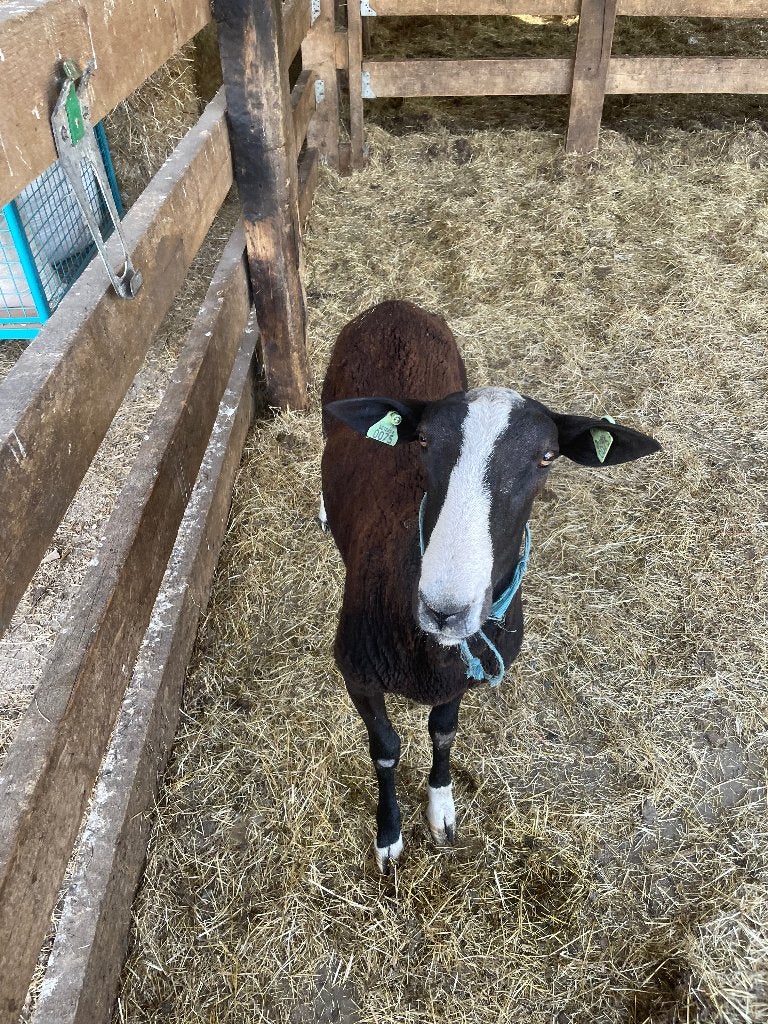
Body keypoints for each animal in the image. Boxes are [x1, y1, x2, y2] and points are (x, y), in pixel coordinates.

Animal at [321, 299, 660, 872]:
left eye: (547, 456)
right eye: (424, 440)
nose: (445, 610)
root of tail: (395, 305)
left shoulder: (461, 679)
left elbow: (443, 733)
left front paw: (441, 809)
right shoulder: (357, 672)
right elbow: (385, 748)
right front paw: (389, 833)